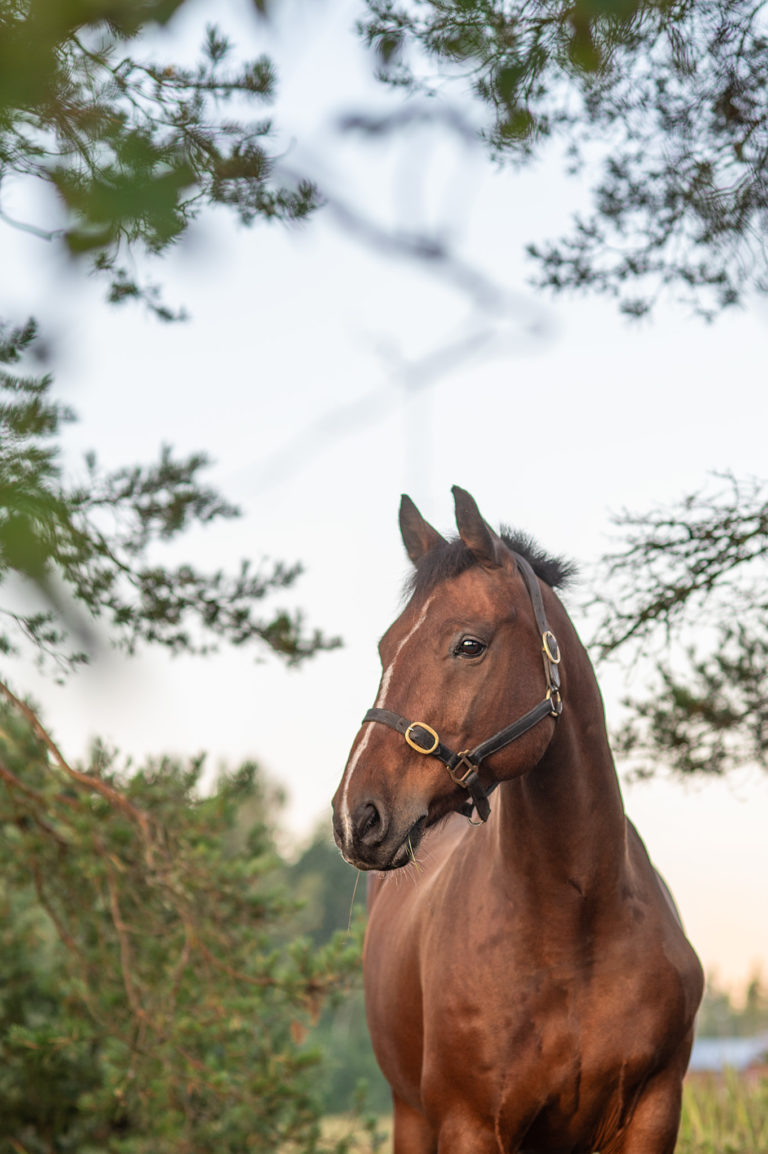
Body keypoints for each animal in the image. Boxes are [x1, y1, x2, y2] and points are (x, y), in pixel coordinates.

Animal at [329, 489, 701, 1154]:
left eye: (469, 644)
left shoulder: (655, 1112)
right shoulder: (471, 1125)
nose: (356, 815)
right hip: (409, 1114)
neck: (577, 923)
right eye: (385, 648)